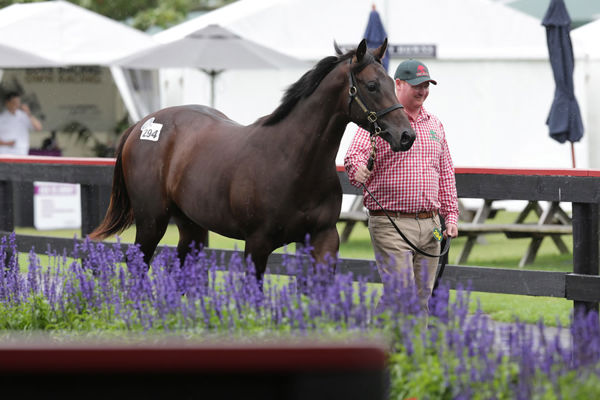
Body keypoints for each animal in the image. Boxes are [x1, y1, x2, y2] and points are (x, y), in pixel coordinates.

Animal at [90, 38, 412, 282]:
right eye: (372, 85)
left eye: (392, 83)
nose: (406, 135)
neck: (294, 161)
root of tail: (141, 125)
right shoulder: (257, 244)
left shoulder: (324, 239)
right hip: (151, 222)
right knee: (138, 266)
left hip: (191, 226)